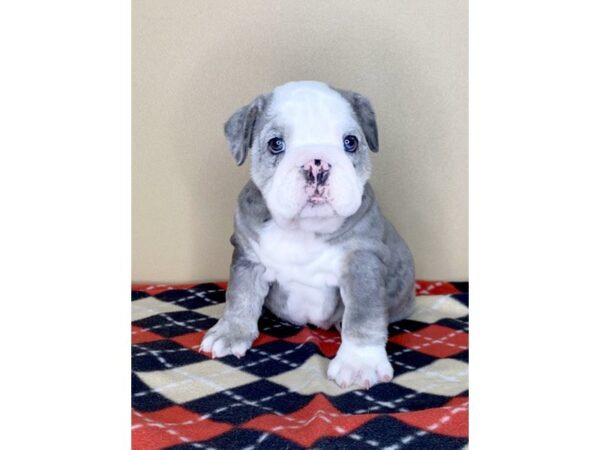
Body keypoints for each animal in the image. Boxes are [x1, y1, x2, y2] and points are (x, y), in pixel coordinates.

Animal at [199, 79, 414, 388]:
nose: (317, 163)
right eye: (276, 144)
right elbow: (240, 296)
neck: (303, 228)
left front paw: (359, 363)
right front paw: (231, 332)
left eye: (351, 142)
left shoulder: (362, 263)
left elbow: (363, 314)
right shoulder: (248, 258)